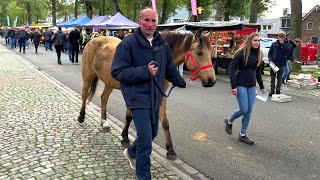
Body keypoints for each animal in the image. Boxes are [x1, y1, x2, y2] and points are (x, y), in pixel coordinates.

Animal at [78, 30, 216, 160]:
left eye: (211, 52)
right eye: (199, 53)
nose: (211, 81)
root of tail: (94, 39)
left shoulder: (161, 96)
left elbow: (164, 122)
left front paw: (170, 150)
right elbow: (130, 116)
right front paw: (126, 137)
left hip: (109, 82)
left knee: (104, 98)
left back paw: (104, 122)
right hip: (88, 76)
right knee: (84, 95)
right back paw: (81, 117)